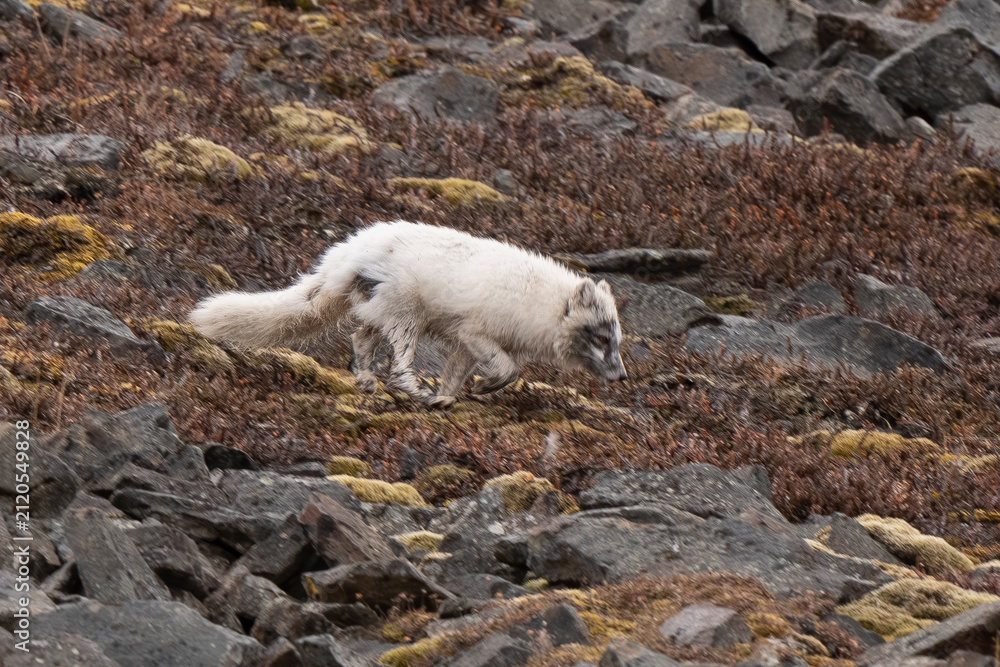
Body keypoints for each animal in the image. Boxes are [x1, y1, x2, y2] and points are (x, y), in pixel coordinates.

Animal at [189, 221, 627, 409]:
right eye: (602, 337)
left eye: (616, 338)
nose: (622, 377)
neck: (539, 303)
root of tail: (345, 255)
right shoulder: (477, 332)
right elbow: (507, 369)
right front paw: (481, 388)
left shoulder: (466, 342)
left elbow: (457, 374)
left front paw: (450, 396)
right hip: (405, 313)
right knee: (398, 365)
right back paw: (413, 391)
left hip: (378, 307)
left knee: (361, 338)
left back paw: (368, 381)